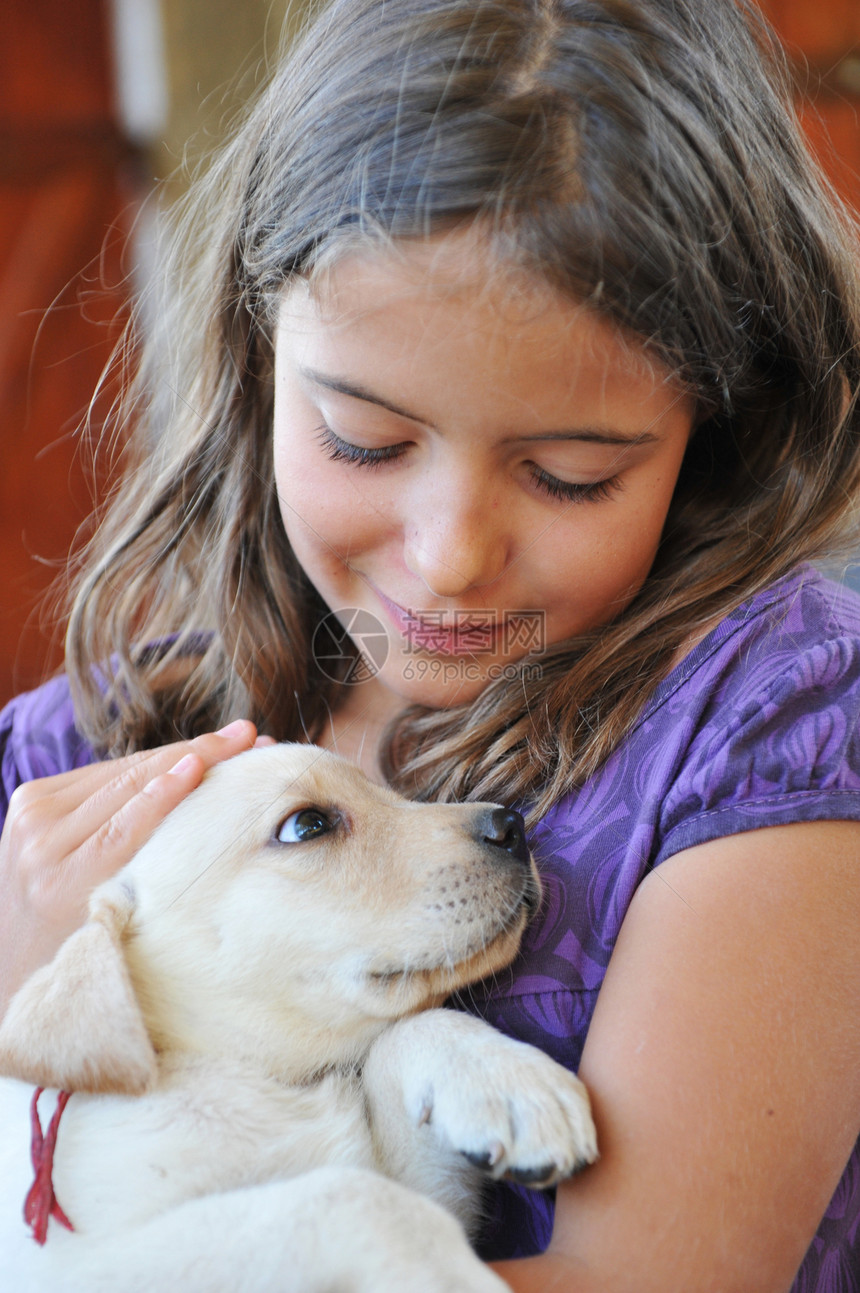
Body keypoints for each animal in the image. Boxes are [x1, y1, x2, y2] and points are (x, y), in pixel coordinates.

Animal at [0, 744, 597, 1287]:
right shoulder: (84, 1267)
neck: (265, 1077)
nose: (512, 825)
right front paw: (455, 1277)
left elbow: (403, 1034)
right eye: (308, 825)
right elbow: (350, 1196)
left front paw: (505, 1081)